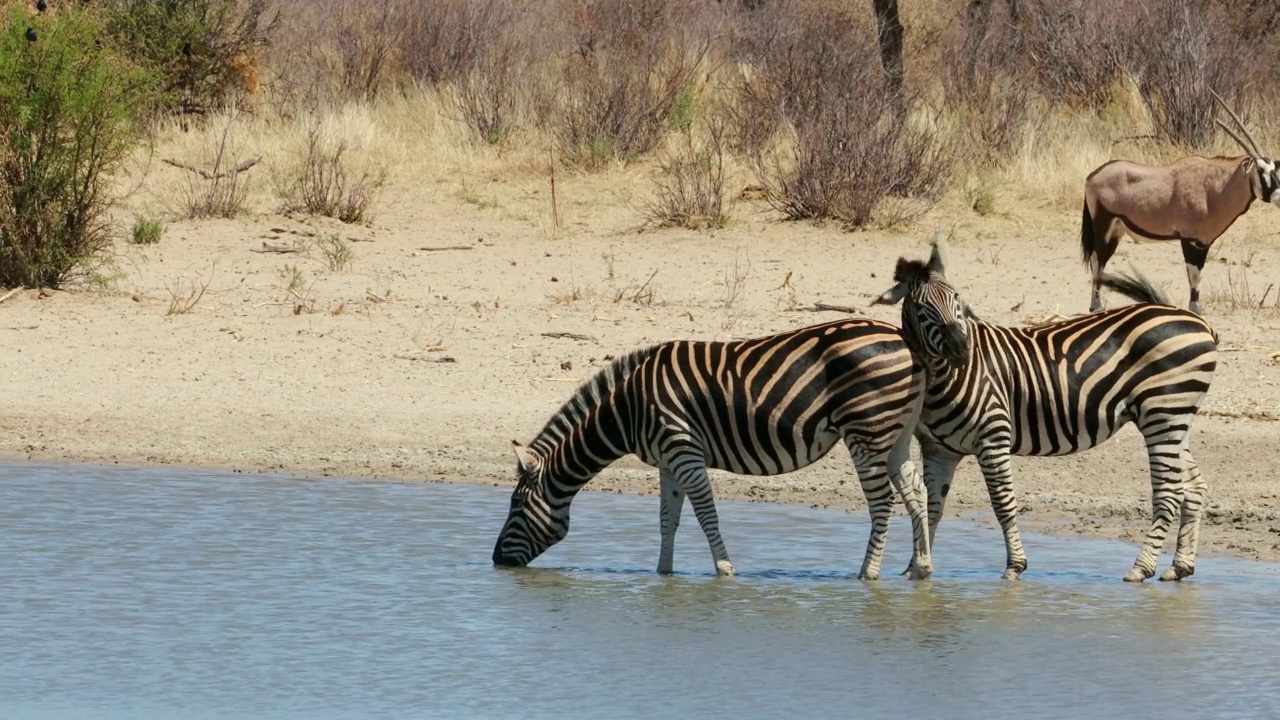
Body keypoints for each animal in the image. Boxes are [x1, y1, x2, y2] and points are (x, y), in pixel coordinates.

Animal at [488, 319, 931, 576]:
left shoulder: (683, 449)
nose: (494, 562)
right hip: (897, 433)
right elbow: (667, 519)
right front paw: (663, 573)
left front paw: (724, 570)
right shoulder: (667, 461)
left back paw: (868, 574)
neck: (629, 409)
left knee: (883, 502)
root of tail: (902, 335)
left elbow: (706, 516)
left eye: (516, 505)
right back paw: (921, 568)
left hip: (866, 429)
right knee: (917, 491)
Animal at [870, 243, 1218, 579]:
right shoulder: (939, 450)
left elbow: (1003, 503)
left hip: (1164, 412)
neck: (946, 376)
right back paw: (1179, 566)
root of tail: (1195, 320)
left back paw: (1141, 568)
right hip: (1174, 419)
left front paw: (1015, 566)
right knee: (1194, 488)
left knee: (1170, 492)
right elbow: (932, 508)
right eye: (920, 309)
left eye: (957, 298)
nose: (962, 349)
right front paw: (917, 567)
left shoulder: (993, 436)